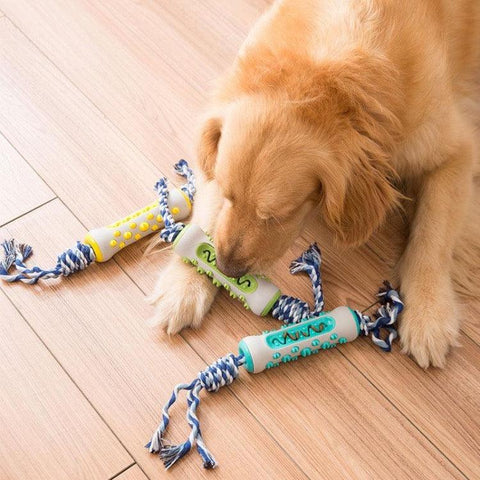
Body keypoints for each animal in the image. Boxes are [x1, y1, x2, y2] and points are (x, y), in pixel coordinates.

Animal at [148, 0, 478, 368]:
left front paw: (428, 314)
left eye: (277, 216)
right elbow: (207, 216)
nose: (227, 268)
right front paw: (182, 288)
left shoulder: (457, 150)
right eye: (229, 195)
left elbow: (432, 233)